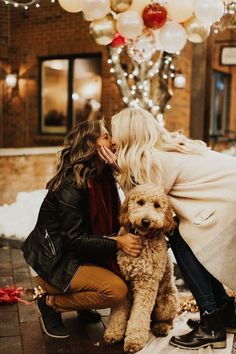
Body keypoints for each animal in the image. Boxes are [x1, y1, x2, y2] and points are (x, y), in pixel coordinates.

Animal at [103, 184, 179, 352]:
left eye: (157, 205)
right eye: (140, 202)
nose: (145, 221)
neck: (142, 238)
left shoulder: (146, 284)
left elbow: (140, 315)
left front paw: (134, 341)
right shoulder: (123, 281)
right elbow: (118, 313)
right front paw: (113, 333)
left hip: (166, 303)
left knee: (167, 320)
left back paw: (161, 328)